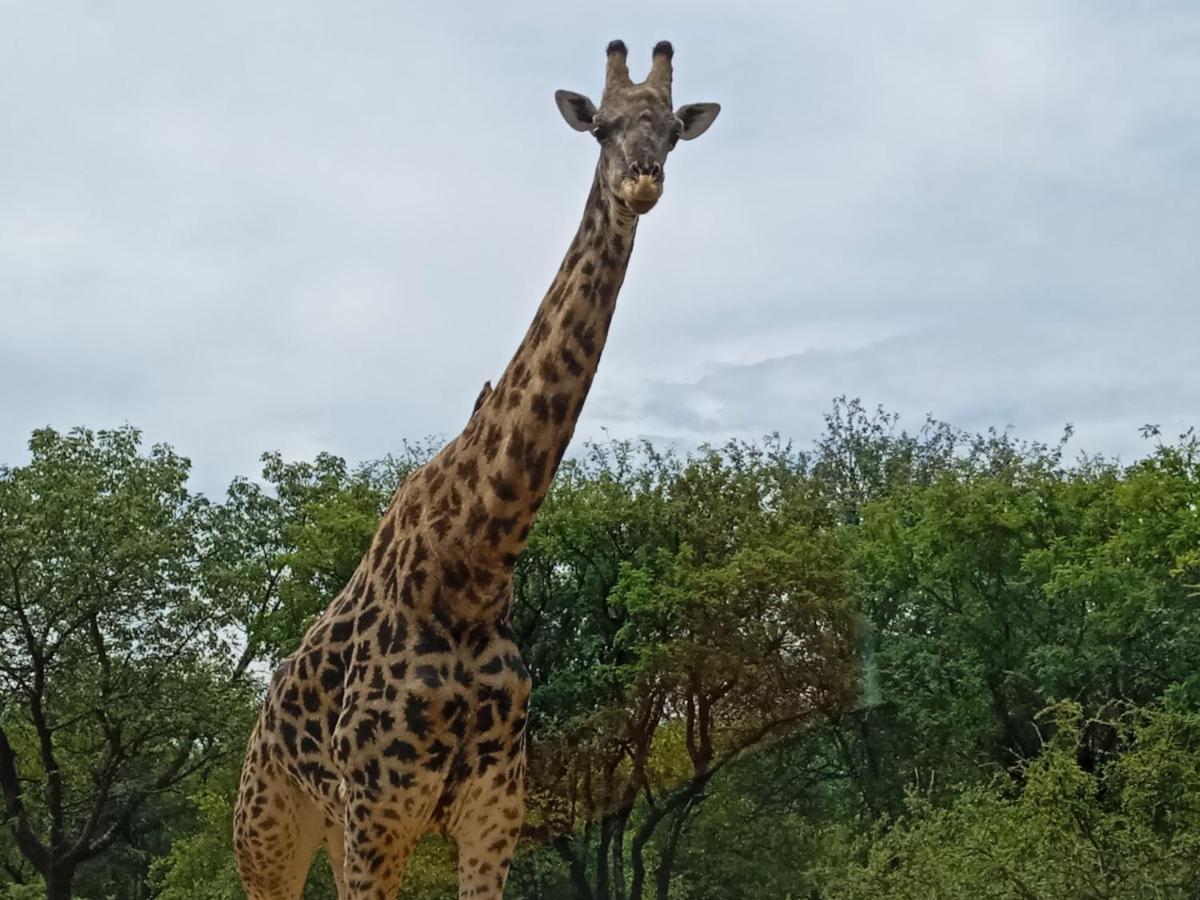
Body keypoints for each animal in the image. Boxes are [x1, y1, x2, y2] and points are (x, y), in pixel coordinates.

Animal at [236, 40, 720, 900]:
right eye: (601, 127)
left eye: (670, 131)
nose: (642, 180)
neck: (473, 563)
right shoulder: (381, 807)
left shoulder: (495, 805)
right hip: (269, 828)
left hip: (325, 827)